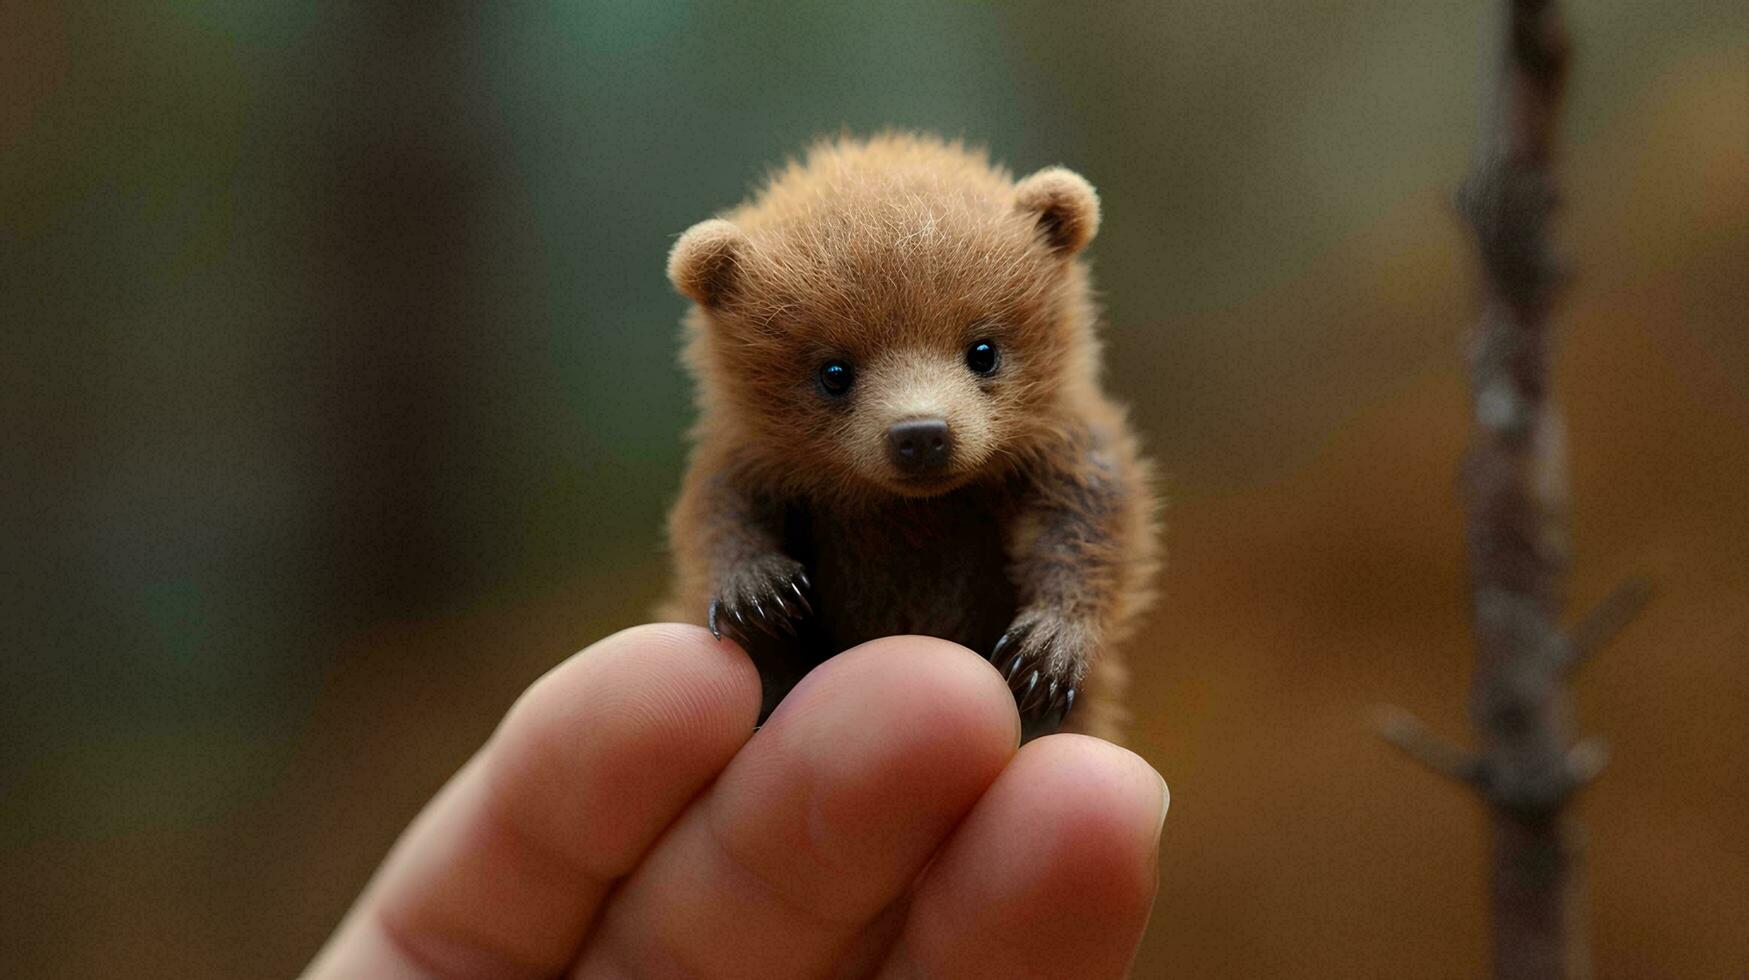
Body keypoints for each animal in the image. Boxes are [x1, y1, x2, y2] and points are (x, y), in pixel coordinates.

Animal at [657, 132, 1161, 742]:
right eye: (834, 371)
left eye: (983, 350)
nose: (921, 434)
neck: (911, 512)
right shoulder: (752, 453)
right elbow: (717, 511)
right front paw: (757, 593)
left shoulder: (1057, 444)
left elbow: (1092, 518)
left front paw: (1048, 648)